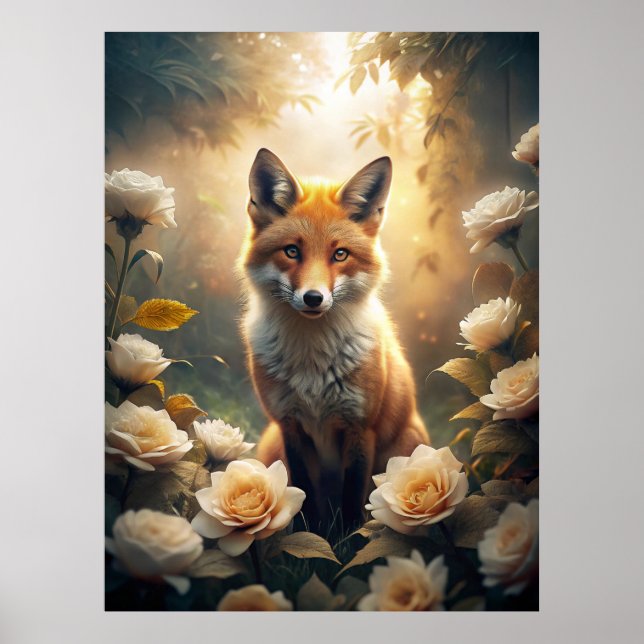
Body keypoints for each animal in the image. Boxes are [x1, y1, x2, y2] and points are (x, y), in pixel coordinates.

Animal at [238, 148, 429, 532]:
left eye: (340, 254)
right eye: (291, 251)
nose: (314, 298)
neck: (312, 360)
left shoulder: (360, 427)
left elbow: (354, 505)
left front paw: (349, 543)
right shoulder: (290, 426)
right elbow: (305, 498)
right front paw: (310, 538)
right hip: (270, 446)